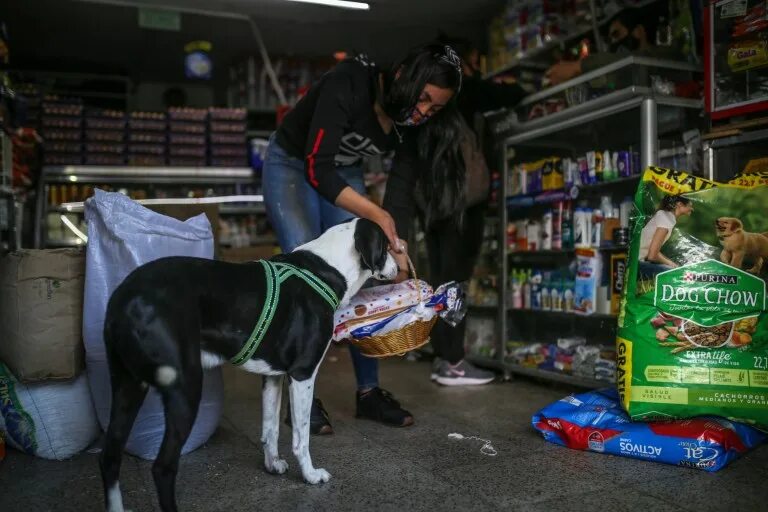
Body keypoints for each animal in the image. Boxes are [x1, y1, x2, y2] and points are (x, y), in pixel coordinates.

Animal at [100, 218, 400, 510]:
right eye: (386, 246)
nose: (398, 268)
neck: (329, 265)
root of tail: (122, 298)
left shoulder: (272, 376)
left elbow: (270, 427)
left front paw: (272, 465)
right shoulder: (302, 374)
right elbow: (301, 436)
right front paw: (310, 475)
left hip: (126, 386)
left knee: (110, 457)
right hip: (184, 388)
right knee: (163, 467)